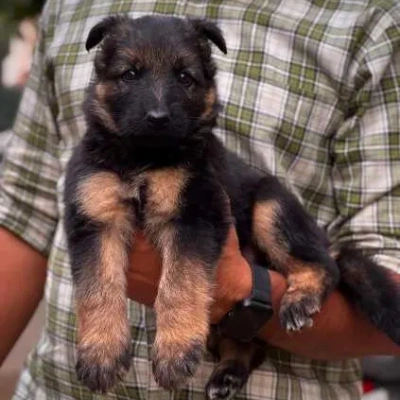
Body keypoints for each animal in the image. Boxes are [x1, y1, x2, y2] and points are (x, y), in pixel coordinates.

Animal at [63, 14, 400, 398]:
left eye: (185, 78)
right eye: (130, 74)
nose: (158, 118)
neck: (144, 159)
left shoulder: (195, 216)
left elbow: (180, 283)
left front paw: (175, 349)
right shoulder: (96, 220)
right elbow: (97, 288)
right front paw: (101, 352)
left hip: (270, 206)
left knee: (326, 265)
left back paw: (299, 299)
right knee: (248, 343)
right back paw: (229, 373)